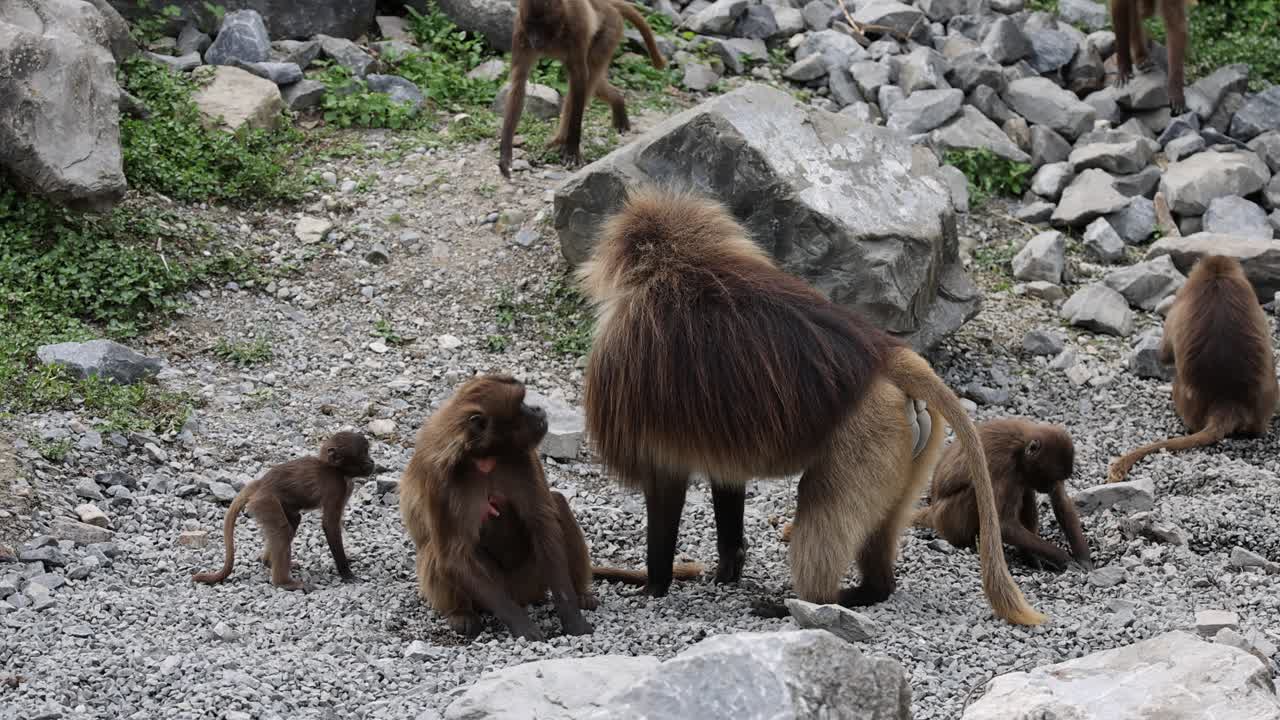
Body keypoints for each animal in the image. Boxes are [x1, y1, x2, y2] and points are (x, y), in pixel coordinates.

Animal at [192, 431, 375, 591]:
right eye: (364, 452)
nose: (372, 462)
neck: (334, 469)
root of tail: (261, 484)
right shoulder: (336, 486)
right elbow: (329, 525)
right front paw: (347, 573)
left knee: (292, 522)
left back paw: (268, 562)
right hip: (265, 502)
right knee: (282, 530)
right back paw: (283, 582)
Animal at [399, 374, 702, 641]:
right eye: (520, 404)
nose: (537, 408)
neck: (484, 456)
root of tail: (522, 595)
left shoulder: (522, 458)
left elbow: (543, 525)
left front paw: (572, 618)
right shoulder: (439, 479)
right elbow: (454, 553)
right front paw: (521, 625)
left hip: (532, 579)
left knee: (558, 506)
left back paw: (581, 594)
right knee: (434, 550)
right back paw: (461, 613)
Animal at [497, 0, 667, 178]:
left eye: (542, 26)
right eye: (531, 25)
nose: (536, 40)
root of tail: (609, 5)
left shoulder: (576, 27)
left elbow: (579, 78)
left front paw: (572, 150)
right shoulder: (521, 32)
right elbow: (518, 82)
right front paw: (505, 156)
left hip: (610, 31)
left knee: (587, 76)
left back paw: (563, 140)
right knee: (593, 82)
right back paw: (617, 100)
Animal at [575, 186, 1047, 627]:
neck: (685, 263)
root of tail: (886, 357)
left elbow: (664, 482)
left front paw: (655, 586)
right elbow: (727, 478)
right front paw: (728, 569)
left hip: (867, 434)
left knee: (823, 511)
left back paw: (804, 604)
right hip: (910, 444)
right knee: (881, 533)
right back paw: (866, 591)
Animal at [913, 419, 1093, 573]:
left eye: (1057, 480)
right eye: (1049, 479)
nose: (1050, 487)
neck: (1020, 447)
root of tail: (933, 510)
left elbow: (1061, 502)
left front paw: (1083, 558)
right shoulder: (1003, 466)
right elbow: (1003, 524)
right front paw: (1064, 558)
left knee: (1025, 489)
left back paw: (1029, 555)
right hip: (949, 518)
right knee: (979, 492)